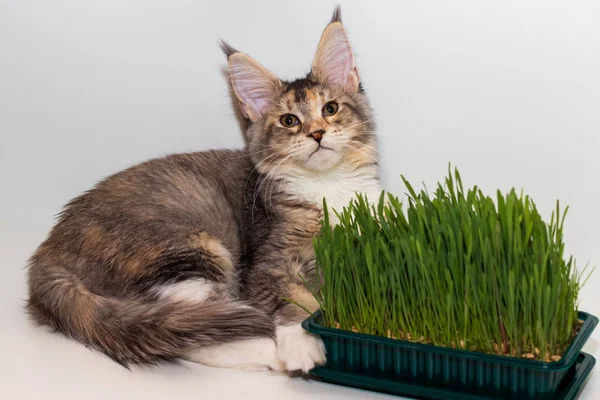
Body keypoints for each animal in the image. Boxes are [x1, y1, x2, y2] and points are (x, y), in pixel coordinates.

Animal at [27, 7, 380, 376]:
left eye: (330, 109)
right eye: (289, 121)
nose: (316, 134)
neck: (328, 186)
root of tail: (50, 251)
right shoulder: (267, 263)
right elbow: (294, 300)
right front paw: (303, 344)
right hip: (187, 247)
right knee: (188, 330)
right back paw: (268, 354)